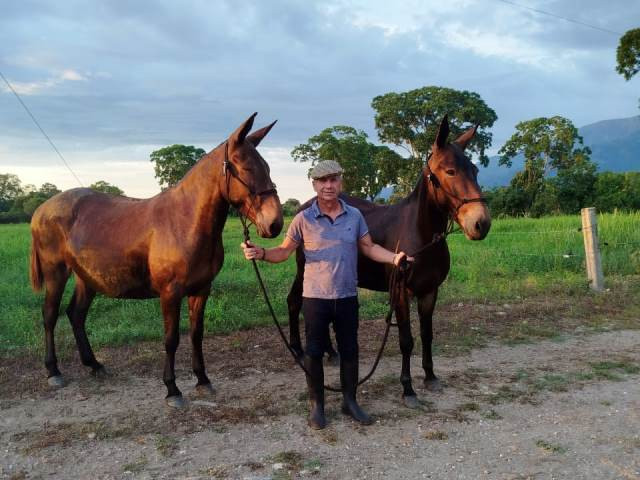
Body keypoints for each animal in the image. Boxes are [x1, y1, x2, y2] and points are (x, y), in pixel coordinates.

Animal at [29, 113, 283, 407]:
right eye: (246, 167)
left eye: (267, 166)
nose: (275, 223)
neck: (185, 221)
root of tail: (41, 209)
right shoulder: (170, 293)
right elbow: (171, 339)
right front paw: (172, 389)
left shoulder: (201, 289)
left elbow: (196, 334)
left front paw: (202, 380)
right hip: (56, 273)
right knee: (50, 315)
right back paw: (53, 371)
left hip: (86, 277)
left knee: (76, 315)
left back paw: (94, 365)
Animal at [286, 115, 491, 407]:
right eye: (450, 171)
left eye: (474, 169)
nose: (481, 223)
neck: (421, 235)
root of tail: (305, 207)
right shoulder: (400, 292)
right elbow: (406, 340)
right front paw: (408, 389)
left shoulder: (429, 292)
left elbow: (427, 335)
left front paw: (430, 376)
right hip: (305, 270)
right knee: (295, 302)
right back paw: (297, 348)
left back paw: (331, 352)